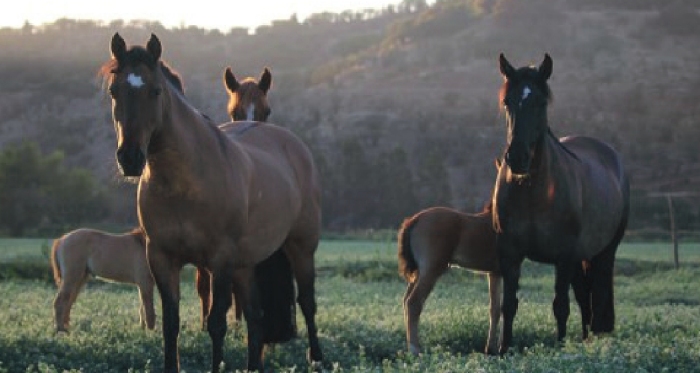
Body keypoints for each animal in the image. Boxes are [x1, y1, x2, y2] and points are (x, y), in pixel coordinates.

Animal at [98, 33, 322, 370]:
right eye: (114, 91)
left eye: (155, 91)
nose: (130, 158)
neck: (184, 185)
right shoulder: (162, 258)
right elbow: (171, 325)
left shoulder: (220, 258)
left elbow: (217, 324)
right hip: (246, 263)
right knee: (255, 318)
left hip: (300, 247)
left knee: (307, 303)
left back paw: (317, 359)